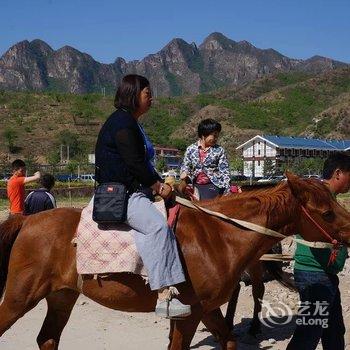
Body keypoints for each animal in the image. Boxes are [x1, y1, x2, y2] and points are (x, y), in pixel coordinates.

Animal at [0, 174, 350, 348]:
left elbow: (228, 340)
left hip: (62, 296)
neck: (217, 235)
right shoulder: (188, 314)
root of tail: (27, 221)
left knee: (47, 338)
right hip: (20, 297)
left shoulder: (207, 309)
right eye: (326, 213)